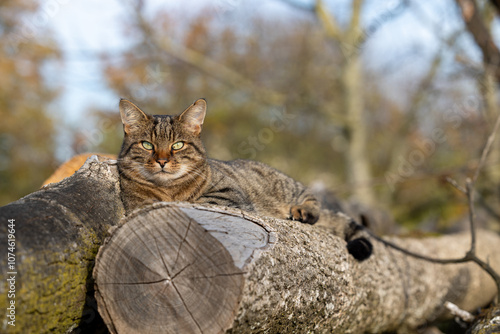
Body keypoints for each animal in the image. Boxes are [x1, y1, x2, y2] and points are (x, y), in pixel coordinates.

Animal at [117, 99, 372, 260]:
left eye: (177, 145)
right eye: (147, 145)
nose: (162, 161)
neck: (168, 188)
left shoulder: (230, 194)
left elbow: (197, 202)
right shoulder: (136, 204)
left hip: (289, 187)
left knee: (312, 200)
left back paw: (302, 211)